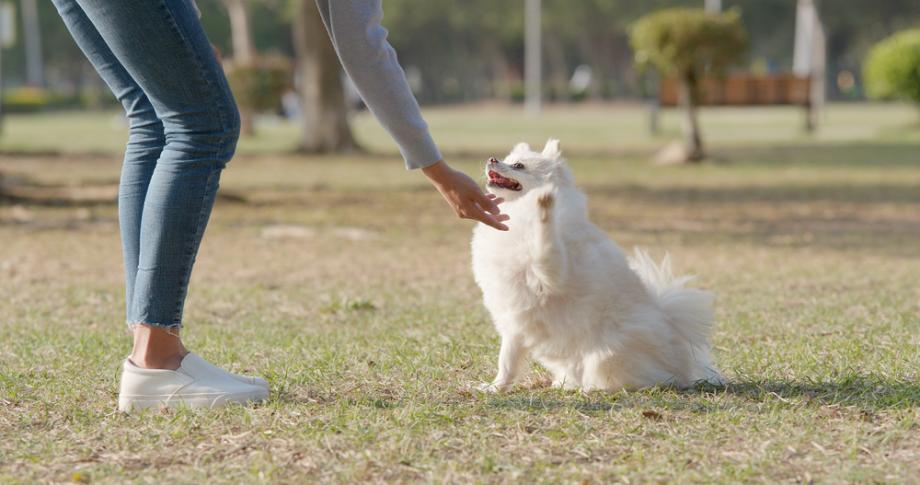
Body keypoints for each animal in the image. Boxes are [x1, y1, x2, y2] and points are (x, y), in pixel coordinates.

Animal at [470, 140, 724, 394]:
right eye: (506, 159)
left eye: (518, 165)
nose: (492, 159)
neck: (516, 213)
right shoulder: (514, 322)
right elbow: (507, 363)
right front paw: (494, 388)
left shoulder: (553, 271)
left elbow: (545, 242)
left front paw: (544, 206)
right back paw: (567, 384)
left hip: (606, 355)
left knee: (648, 379)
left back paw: (595, 388)